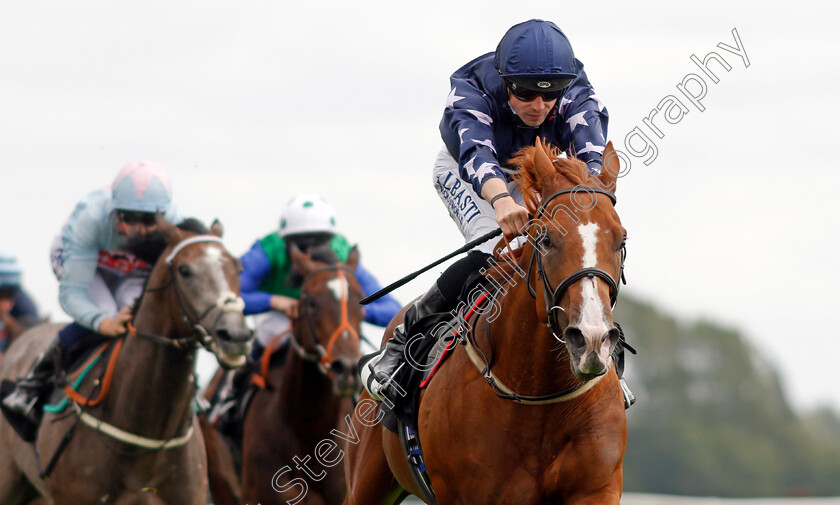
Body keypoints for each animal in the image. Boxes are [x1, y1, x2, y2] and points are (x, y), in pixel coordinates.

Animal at [344, 138, 628, 504]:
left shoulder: (596, 488)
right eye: (546, 238)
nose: (591, 339)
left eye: (621, 239)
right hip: (364, 482)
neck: (539, 397)